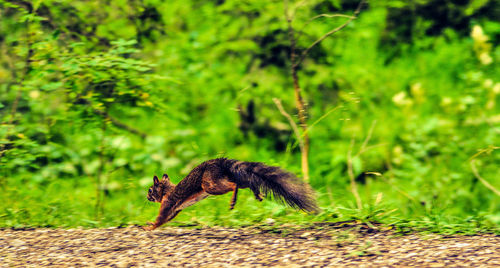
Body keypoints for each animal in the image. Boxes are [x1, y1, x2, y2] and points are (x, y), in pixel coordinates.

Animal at [143, 157, 318, 230]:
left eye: (150, 190)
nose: (147, 197)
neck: (166, 190)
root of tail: (221, 163)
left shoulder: (168, 202)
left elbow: (161, 217)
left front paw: (150, 227)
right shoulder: (175, 209)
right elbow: (167, 218)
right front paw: (151, 225)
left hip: (209, 184)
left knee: (233, 186)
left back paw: (233, 202)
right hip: (231, 177)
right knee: (247, 182)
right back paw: (257, 194)